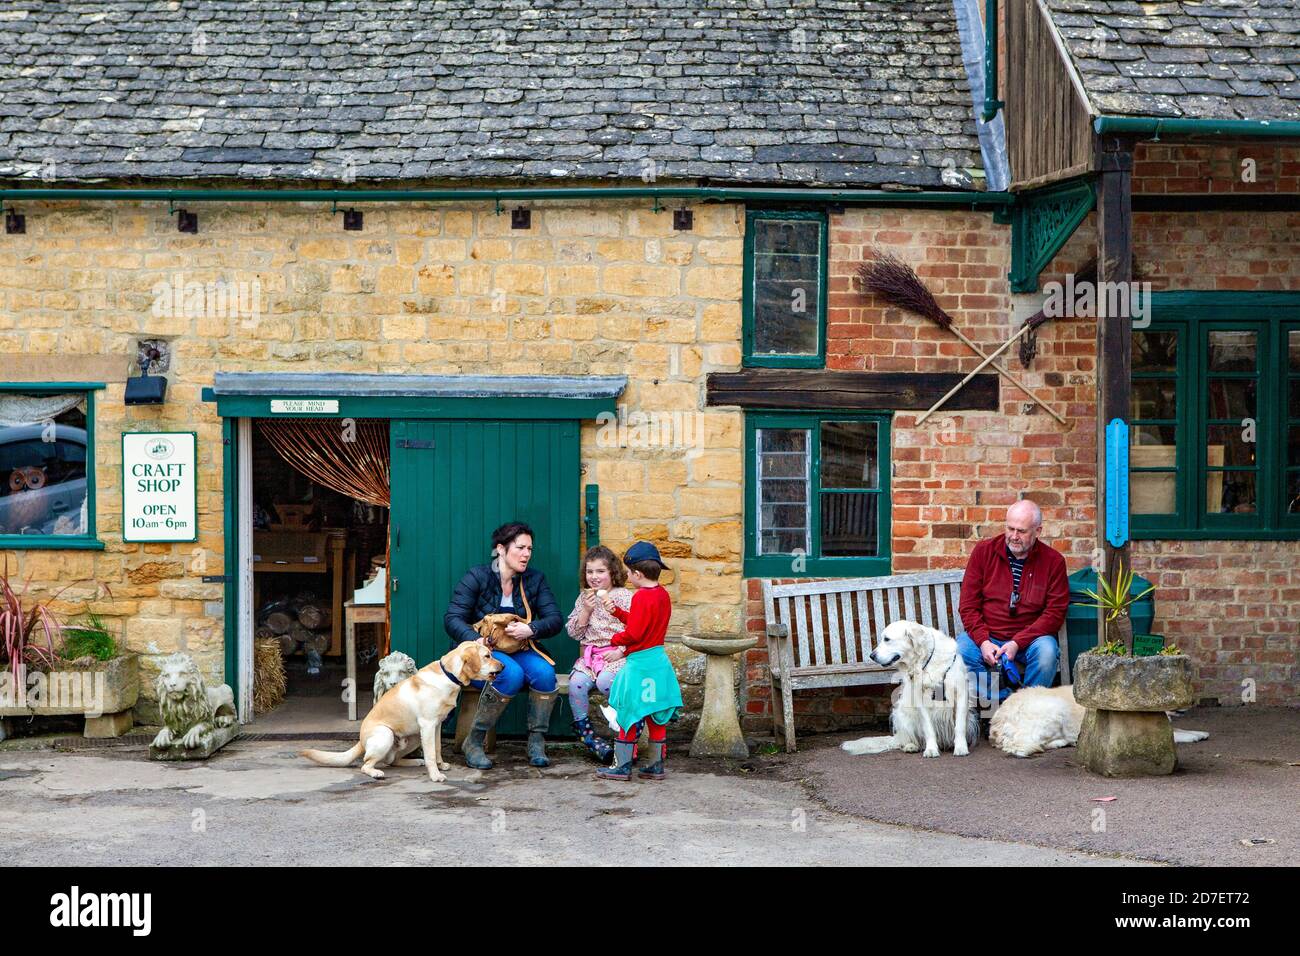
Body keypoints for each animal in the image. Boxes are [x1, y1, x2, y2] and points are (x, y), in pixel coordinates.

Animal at [300, 639, 501, 780]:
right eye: (487, 656)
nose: (504, 666)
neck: (448, 675)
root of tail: (360, 741)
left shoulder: (437, 726)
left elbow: (436, 749)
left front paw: (441, 765)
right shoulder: (428, 725)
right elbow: (430, 753)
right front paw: (435, 775)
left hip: (414, 738)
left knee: (393, 761)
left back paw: (414, 761)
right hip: (386, 734)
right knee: (366, 764)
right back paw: (376, 773)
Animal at [842, 621, 977, 764]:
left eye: (887, 639)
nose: (871, 656)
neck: (924, 660)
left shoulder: (961, 693)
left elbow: (960, 726)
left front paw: (961, 747)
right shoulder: (920, 699)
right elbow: (928, 728)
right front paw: (931, 749)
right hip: (903, 715)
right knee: (906, 740)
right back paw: (910, 746)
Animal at [993, 686, 1206, 759]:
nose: (1194, 702)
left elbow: (1180, 727)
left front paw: (1199, 732)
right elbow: (1177, 733)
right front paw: (1194, 736)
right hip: (1054, 709)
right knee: (1029, 743)